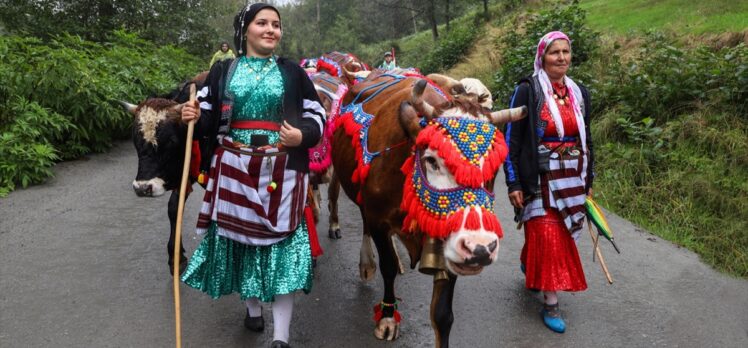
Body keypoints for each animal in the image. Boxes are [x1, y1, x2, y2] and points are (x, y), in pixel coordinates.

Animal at [330, 72, 524, 346]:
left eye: (494, 168)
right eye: (432, 160)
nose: (481, 249)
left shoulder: (451, 242)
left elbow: (442, 314)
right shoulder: (378, 219)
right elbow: (387, 266)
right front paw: (387, 317)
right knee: (364, 223)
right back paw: (366, 264)